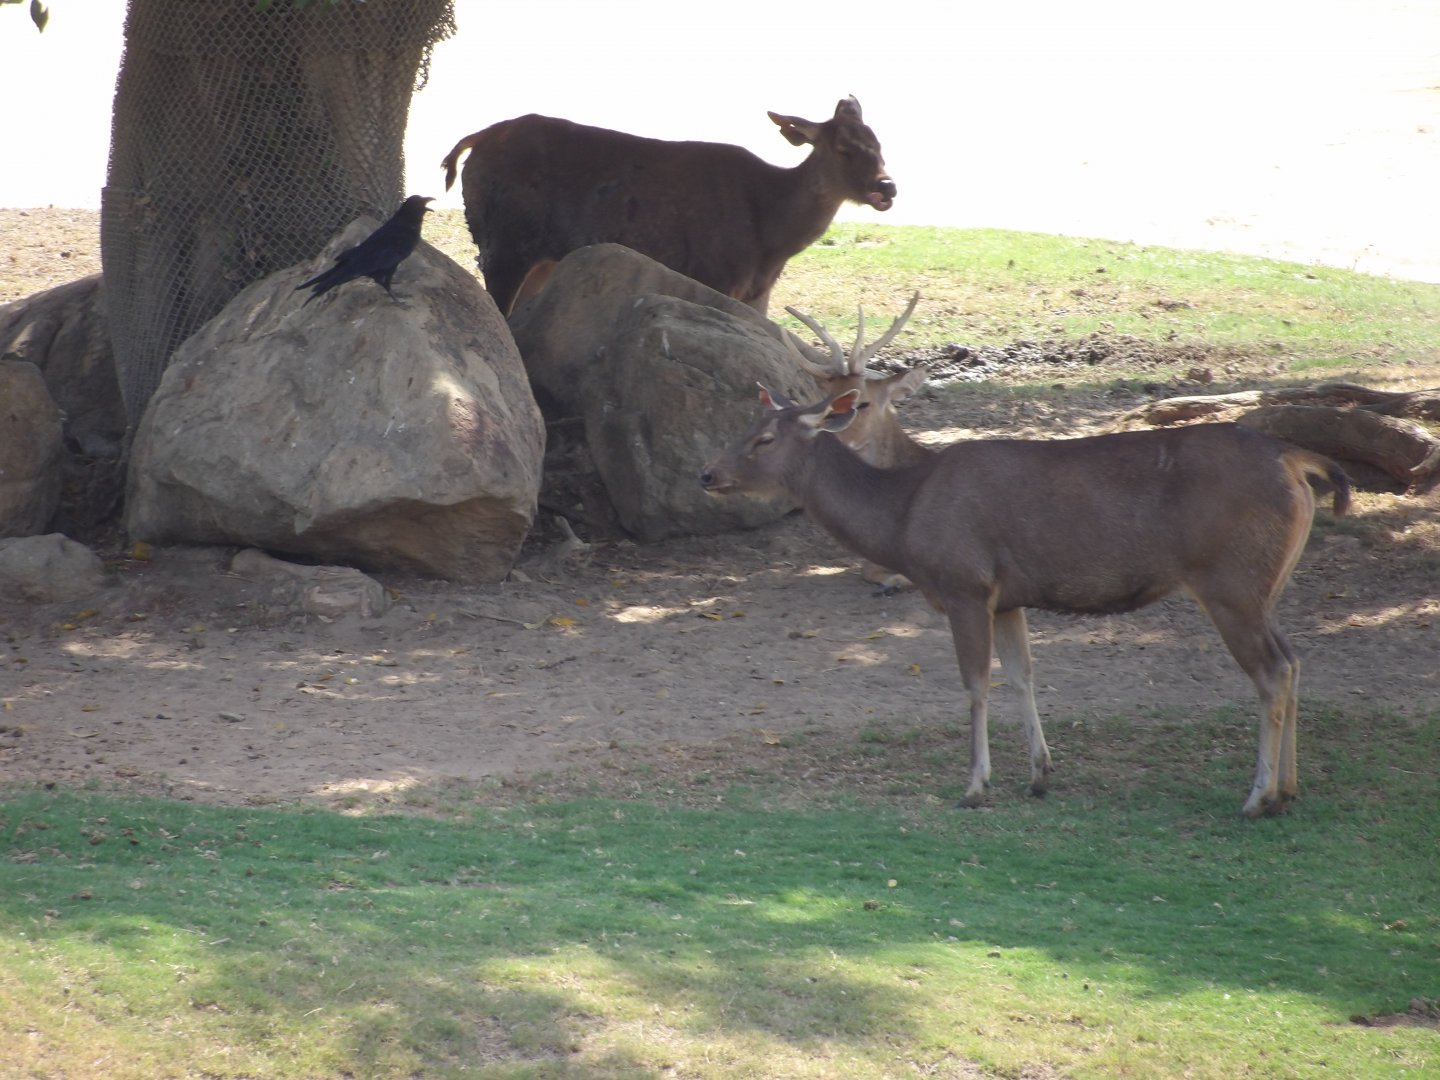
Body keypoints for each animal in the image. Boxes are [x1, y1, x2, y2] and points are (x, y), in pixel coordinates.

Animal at [440, 97, 896, 317]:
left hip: (539, 258)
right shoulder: (715, 273)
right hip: (503, 241)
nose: (887, 187)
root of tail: (475, 139)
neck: (771, 238)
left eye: (879, 144)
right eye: (842, 149)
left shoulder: (757, 292)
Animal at [699, 386, 1351, 818]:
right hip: (1264, 586)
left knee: (1271, 671)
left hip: (1230, 581)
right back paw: (1290, 788)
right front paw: (1040, 775)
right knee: (1294, 661)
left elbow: (976, 685)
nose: (707, 474)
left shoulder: (964, 584)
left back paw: (1257, 795)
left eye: (762, 438)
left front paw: (975, 784)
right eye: (739, 429)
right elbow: (1022, 676)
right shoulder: (1008, 597)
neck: (902, 521)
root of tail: (1297, 461)